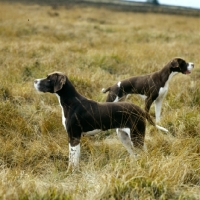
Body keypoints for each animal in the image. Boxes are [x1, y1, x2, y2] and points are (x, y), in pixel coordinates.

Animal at [34, 72, 167, 170]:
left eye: (48, 79)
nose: (35, 81)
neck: (71, 102)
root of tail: (140, 110)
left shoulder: (74, 137)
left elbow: (73, 160)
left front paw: (71, 173)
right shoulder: (74, 138)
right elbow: (73, 158)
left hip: (136, 137)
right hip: (124, 136)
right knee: (135, 154)